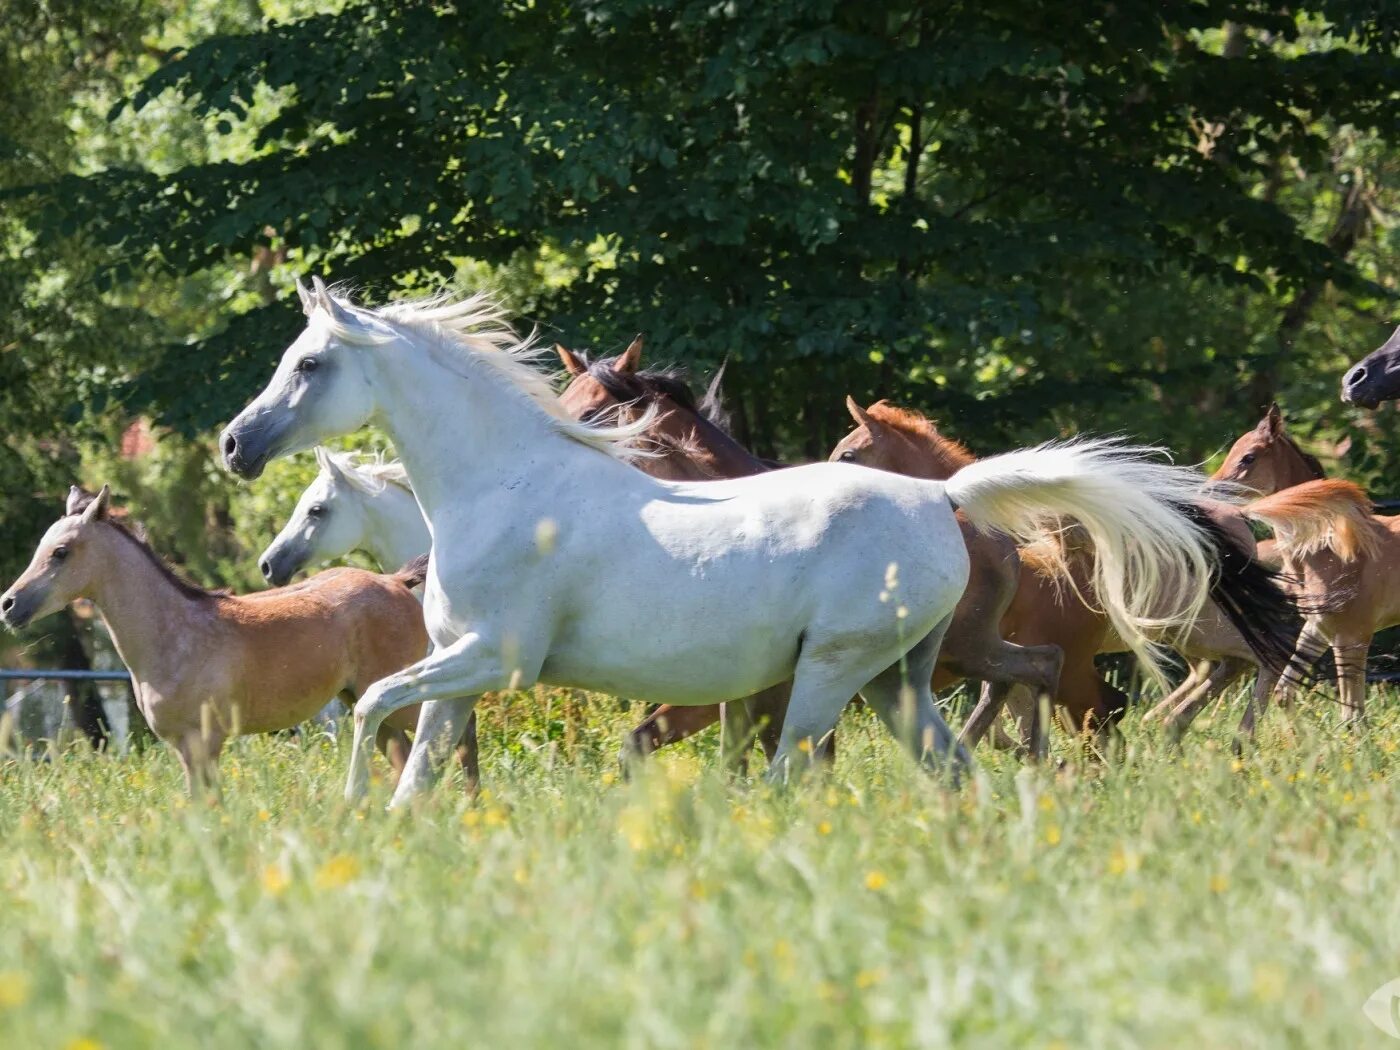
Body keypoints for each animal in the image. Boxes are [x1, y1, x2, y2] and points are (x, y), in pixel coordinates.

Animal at [0, 484, 442, 795]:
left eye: (61, 551)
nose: (8, 604)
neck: (173, 635)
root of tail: (397, 580)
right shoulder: (183, 747)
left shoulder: (205, 740)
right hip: (363, 701)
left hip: (396, 697)